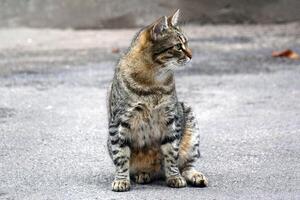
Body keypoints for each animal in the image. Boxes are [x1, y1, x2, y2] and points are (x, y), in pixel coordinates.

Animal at [106, 9, 207, 192]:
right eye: (178, 46)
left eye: (187, 43)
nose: (191, 56)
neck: (153, 80)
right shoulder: (119, 122)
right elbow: (121, 157)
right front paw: (121, 180)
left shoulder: (170, 119)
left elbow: (171, 154)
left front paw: (174, 177)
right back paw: (143, 174)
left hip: (190, 126)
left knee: (186, 165)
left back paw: (195, 176)